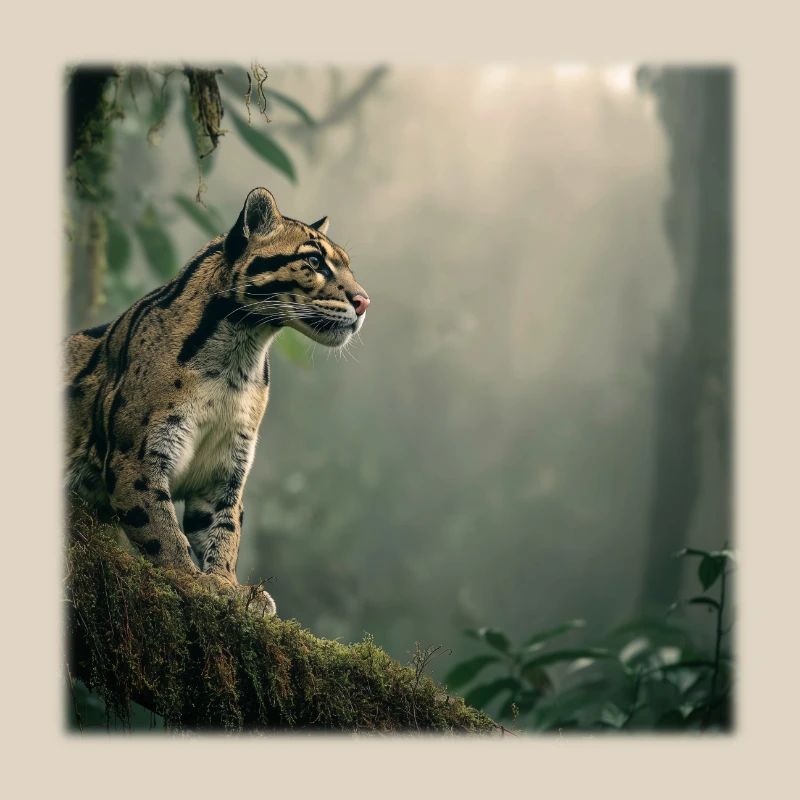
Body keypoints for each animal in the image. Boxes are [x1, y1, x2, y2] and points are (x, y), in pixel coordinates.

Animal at [65, 187, 370, 616]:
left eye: (345, 265)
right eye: (314, 261)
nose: (364, 302)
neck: (236, 361)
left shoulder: (225, 467)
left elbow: (223, 530)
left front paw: (228, 584)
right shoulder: (135, 458)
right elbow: (160, 527)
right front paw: (191, 580)